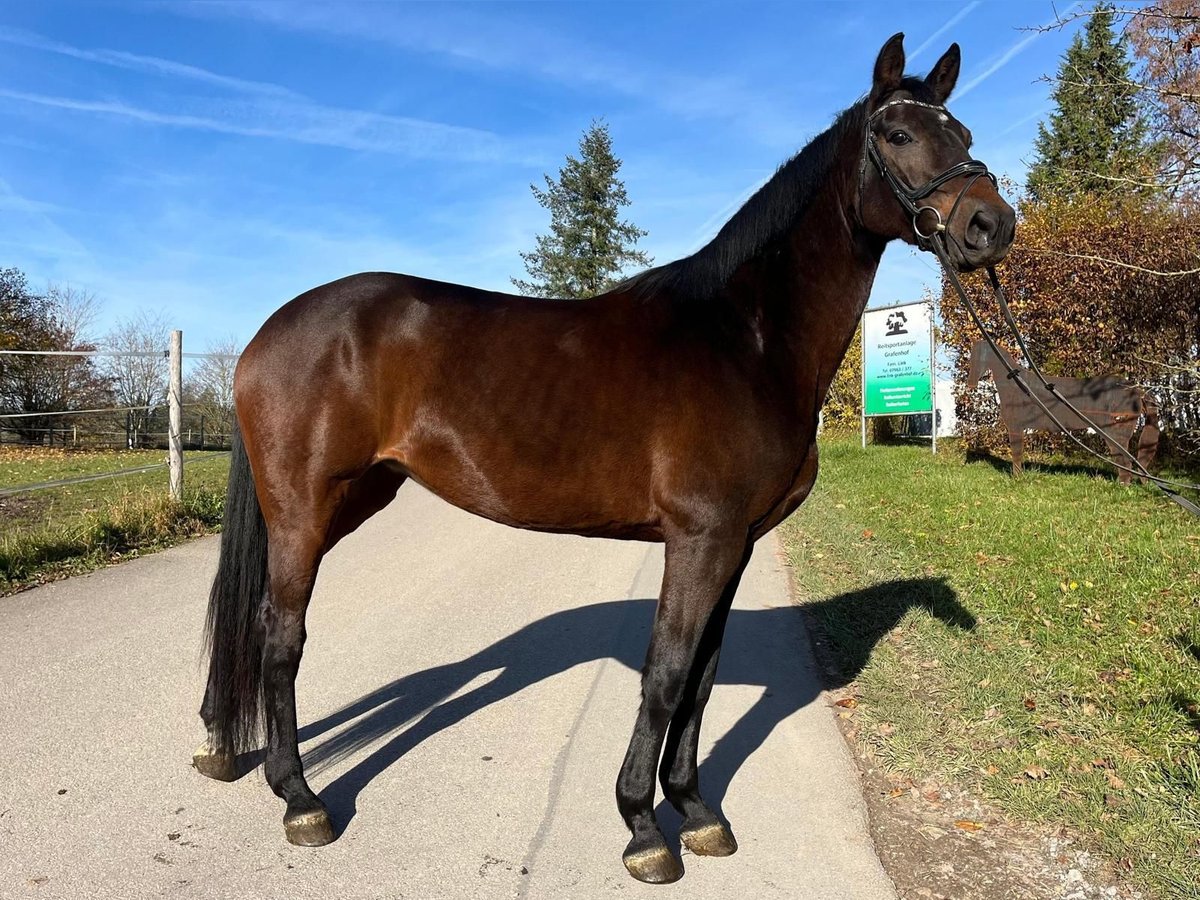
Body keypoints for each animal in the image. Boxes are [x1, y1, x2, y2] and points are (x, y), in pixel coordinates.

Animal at [194, 33, 1015, 884]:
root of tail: (266, 334)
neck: (747, 338)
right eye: (898, 133)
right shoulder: (698, 537)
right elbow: (665, 674)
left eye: (964, 134)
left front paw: (696, 811)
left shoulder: (737, 544)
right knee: (281, 638)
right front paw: (642, 827)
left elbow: (702, 678)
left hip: (351, 500)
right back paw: (301, 799)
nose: (992, 225)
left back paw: (227, 748)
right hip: (305, 507)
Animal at [965, 339, 1159, 484]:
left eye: (976, 357)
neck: (1018, 386)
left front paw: (1017, 479)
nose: (971, 384)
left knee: (1124, 460)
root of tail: (1137, 391)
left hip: (1116, 433)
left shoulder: (1016, 427)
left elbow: (1017, 454)